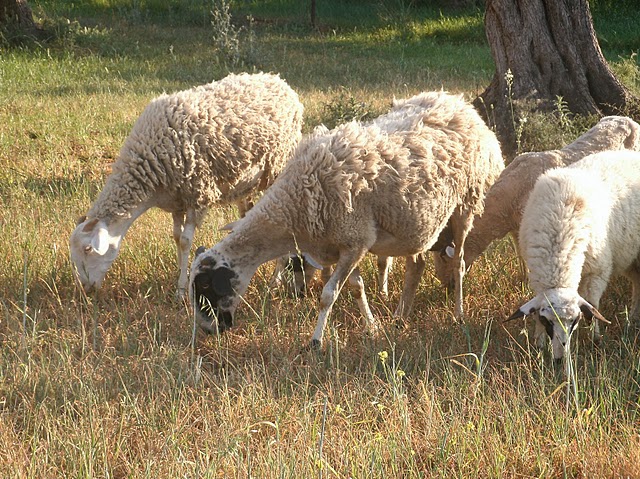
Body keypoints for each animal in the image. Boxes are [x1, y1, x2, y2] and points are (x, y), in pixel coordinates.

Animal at [69, 72, 304, 297]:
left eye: (88, 249)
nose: (86, 289)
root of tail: (278, 81)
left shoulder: (196, 194)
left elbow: (185, 241)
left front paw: (181, 290)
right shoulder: (176, 200)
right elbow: (176, 237)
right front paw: (179, 280)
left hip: (278, 167)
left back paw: (275, 281)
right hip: (246, 183)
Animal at [189, 90, 503, 347]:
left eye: (205, 286)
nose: (209, 331)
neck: (293, 206)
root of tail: (460, 105)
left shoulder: (355, 241)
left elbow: (329, 294)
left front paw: (316, 341)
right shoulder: (347, 243)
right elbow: (355, 288)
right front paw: (373, 327)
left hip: (466, 203)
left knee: (458, 260)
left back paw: (458, 314)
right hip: (415, 224)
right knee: (417, 265)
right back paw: (400, 317)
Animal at [432, 116, 640, 290]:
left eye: (443, 259)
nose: (447, 288)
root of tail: (627, 120)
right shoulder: (517, 228)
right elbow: (520, 253)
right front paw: (523, 279)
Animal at [507, 150, 640, 359]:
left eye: (575, 321)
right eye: (547, 321)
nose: (560, 358)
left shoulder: (597, 271)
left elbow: (593, 305)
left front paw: (595, 339)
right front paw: (539, 345)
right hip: (630, 256)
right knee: (637, 281)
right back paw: (634, 318)